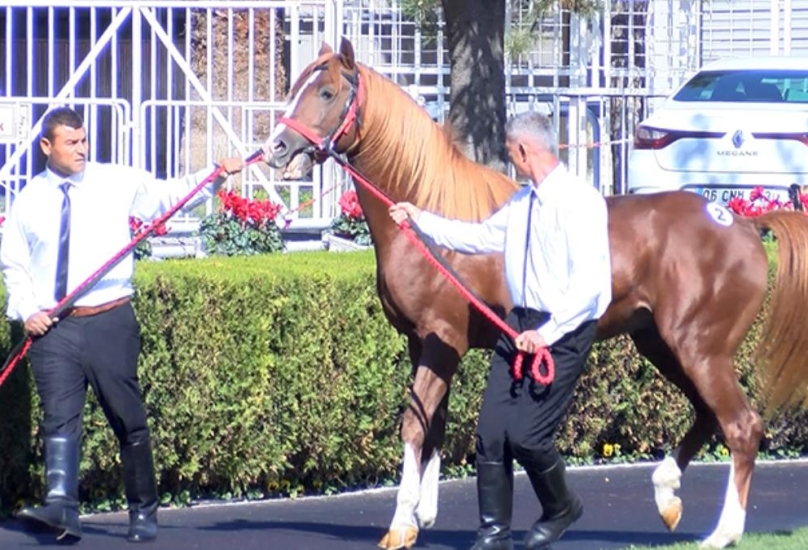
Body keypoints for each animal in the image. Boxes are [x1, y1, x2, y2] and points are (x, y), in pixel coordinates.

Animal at [260, 36, 808, 548]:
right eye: (297, 86)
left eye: (327, 92)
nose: (277, 149)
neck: (435, 223)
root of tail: (742, 223)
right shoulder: (422, 342)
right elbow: (433, 424)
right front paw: (422, 515)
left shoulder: (442, 339)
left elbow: (415, 426)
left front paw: (400, 525)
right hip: (661, 344)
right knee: (707, 415)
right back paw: (667, 496)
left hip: (699, 348)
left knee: (741, 425)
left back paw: (722, 531)